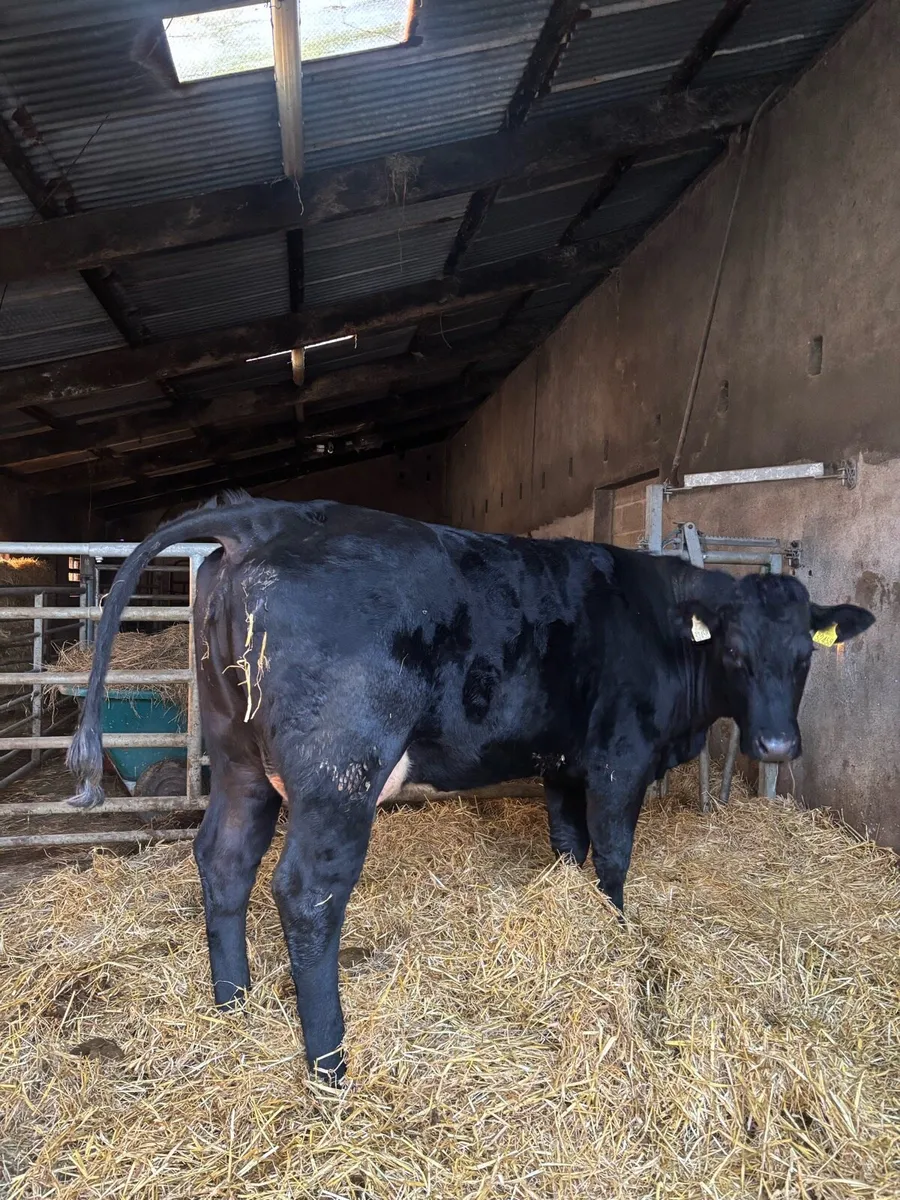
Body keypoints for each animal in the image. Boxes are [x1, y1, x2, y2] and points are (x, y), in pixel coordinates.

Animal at [66, 495, 874, 1084]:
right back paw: (329, 1062)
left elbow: (568, 845)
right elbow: (613, 856)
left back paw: (232, 1005)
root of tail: (270, 514)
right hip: (338, 773)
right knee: (306, 894)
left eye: (804, 655)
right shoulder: (619, 759)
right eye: (735, 650)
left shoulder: (562, 761)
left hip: (238, 758)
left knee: (225, 861)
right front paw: (619, 932)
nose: (777, 747)